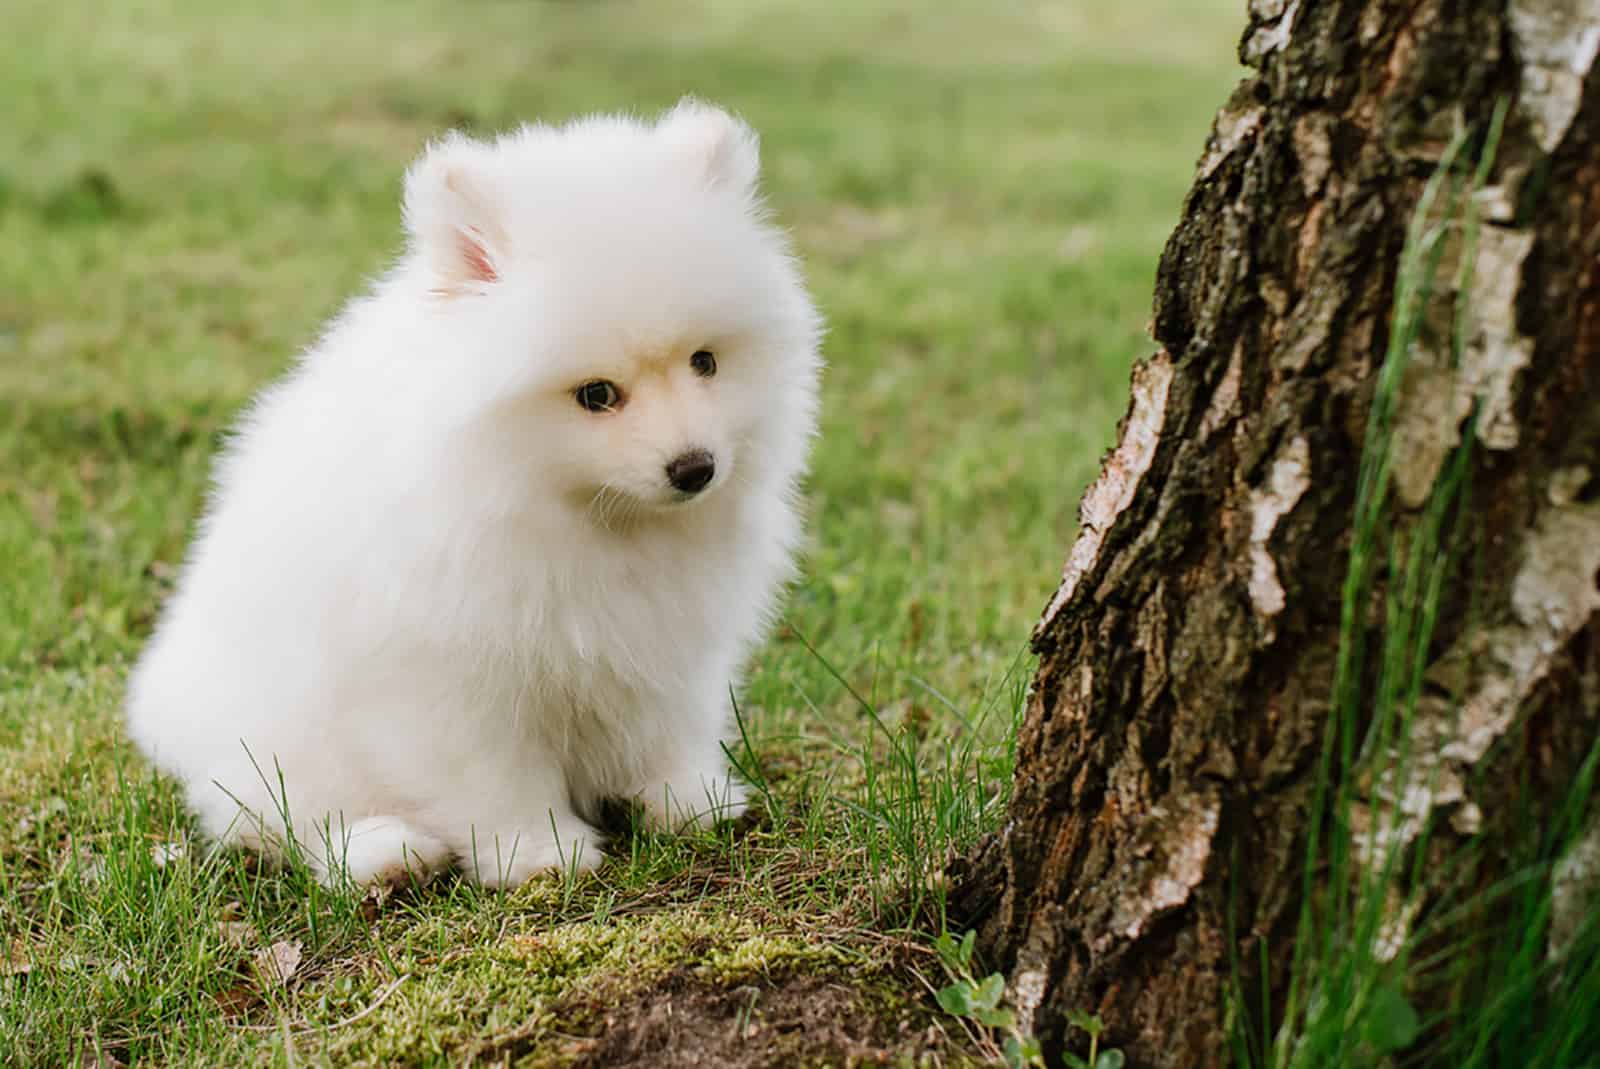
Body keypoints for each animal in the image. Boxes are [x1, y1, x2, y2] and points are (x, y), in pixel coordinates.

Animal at [123, 100, 819, 883]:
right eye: (596, 395)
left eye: (705, 362)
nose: (695, 467)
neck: (580, 516)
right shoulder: (457, 679)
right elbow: (498, 778)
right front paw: (542, 854)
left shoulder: (668, 651)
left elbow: (668, 733)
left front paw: (689, 803)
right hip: (278, 738)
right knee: (283, 817)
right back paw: (385, 851)